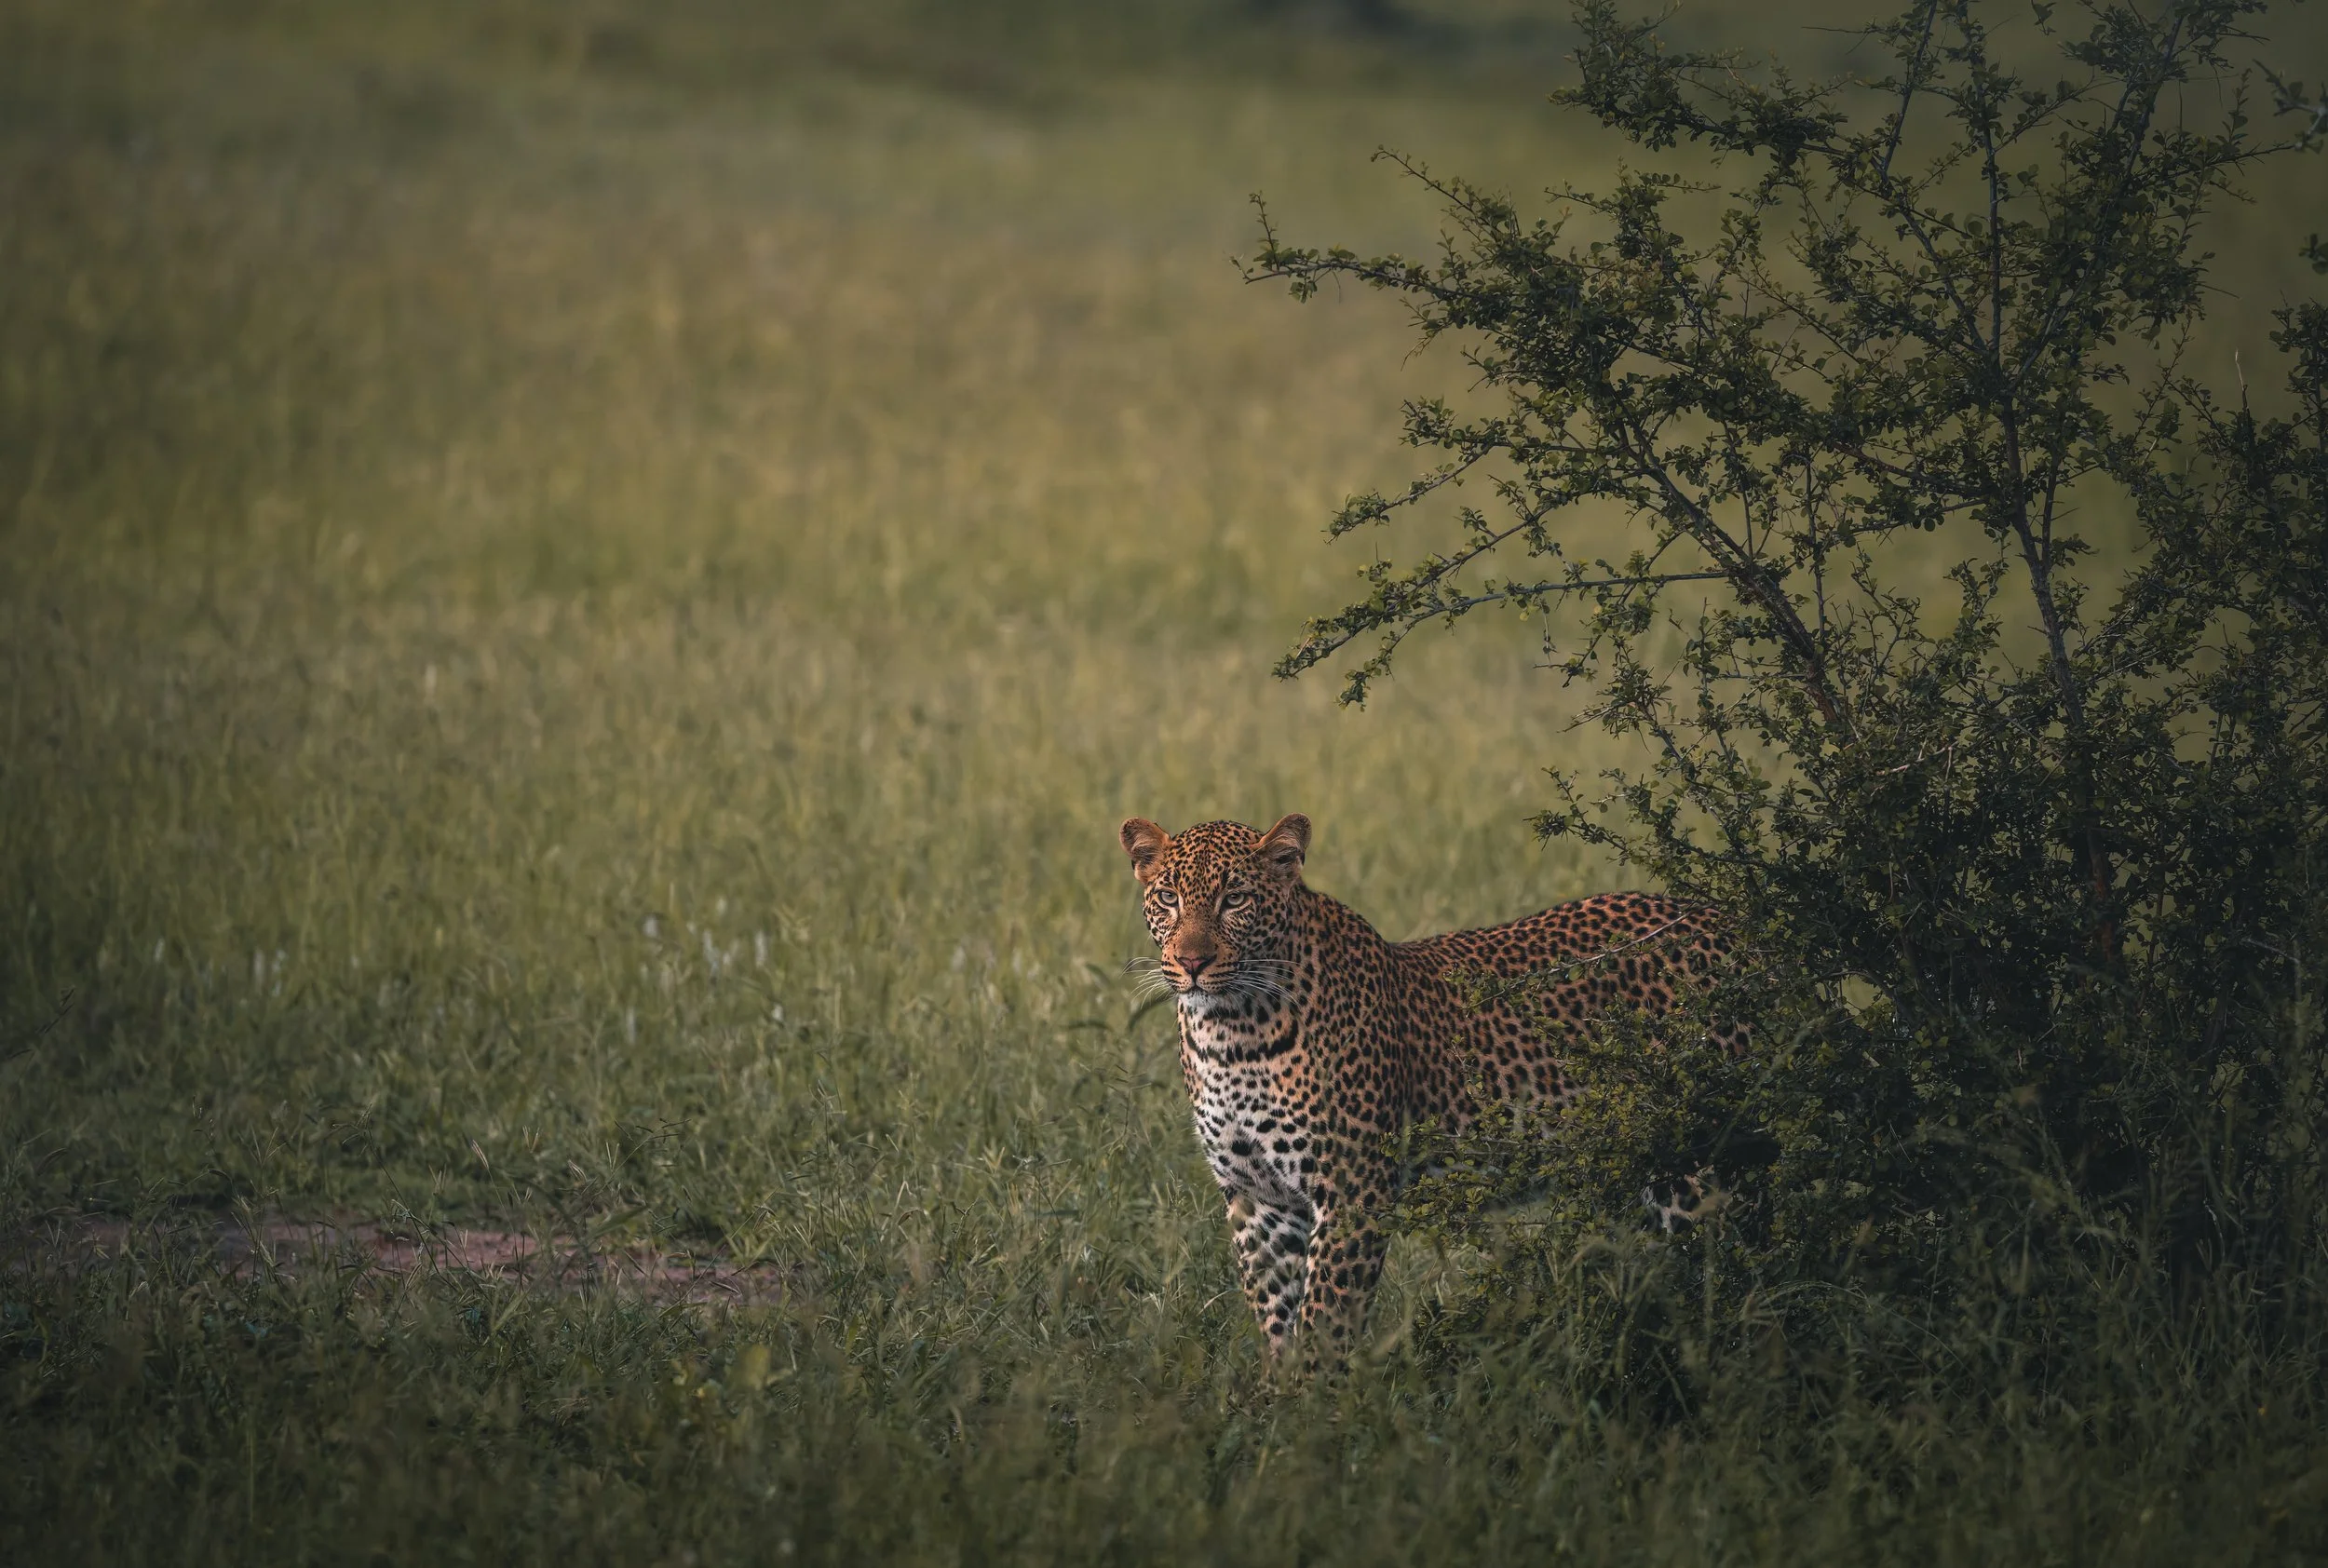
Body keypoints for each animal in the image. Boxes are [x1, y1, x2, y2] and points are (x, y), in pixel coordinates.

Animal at [1118, 812, 1736, 1365]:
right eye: (1169, 898)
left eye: (1235, 900)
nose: (1192, 962)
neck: (1231, 1032)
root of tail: (1721, 919)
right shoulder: (1259, 1200)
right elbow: (1276, 1318)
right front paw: (1277, 1406)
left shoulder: (1352, 1190)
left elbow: (1324, 1322)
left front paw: (1317, 1410)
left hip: (1695, 1168)